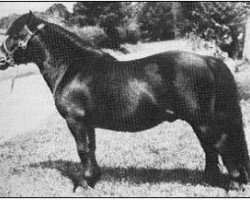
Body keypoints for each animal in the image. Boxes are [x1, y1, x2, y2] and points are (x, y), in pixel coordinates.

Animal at [0, 11, 249, 190]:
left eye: (12, 34)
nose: (1, 58)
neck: (71, 66)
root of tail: (206, 60)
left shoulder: (76, 121)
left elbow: (83, 150)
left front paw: (83, 184)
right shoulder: (87, 123)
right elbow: (91, 148)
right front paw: (93, 179)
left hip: (204, 120)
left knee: (222, 145)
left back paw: (234, 184)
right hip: (199, 121)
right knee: (210, 148)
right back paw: (210, 181)